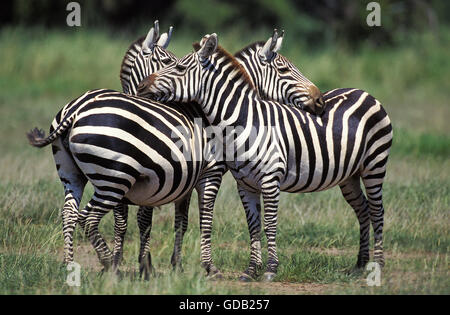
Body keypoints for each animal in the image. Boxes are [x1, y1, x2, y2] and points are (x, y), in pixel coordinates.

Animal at [138, 33, 394, 282]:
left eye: (180, 67)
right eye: (284, 69)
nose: (142, 85)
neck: (245, 122)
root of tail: (363, 92)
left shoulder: (268, 180)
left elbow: (268, 224)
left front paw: (270, 269)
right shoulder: (245, 184)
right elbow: (252, 226)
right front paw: (251, 270)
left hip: (374, 165)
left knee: (376, 210)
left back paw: (378, 265)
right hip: (349, 176)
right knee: (362, 209)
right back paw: (360, 264)